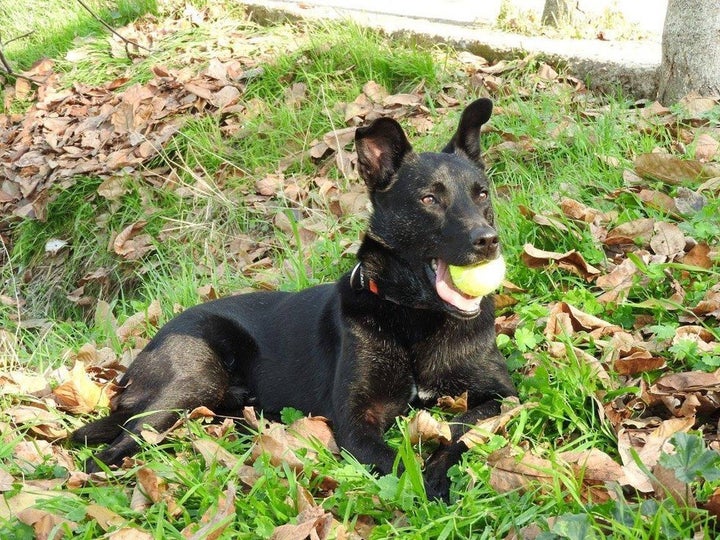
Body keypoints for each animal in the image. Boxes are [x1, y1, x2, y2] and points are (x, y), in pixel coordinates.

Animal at [73, 99, 516, 500]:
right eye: (429, 199)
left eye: (481, 194)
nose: (488, 241)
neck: (414, 318)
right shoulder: (356, 419)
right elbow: (397, 462)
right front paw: (422, 487)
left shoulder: (501, 394)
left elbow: (460, 430)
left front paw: (438, 473)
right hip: (193, 377)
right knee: (109, 451)